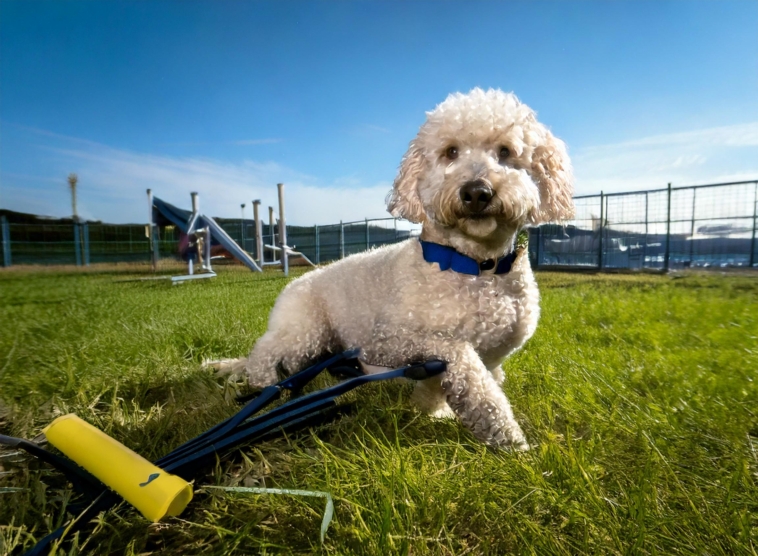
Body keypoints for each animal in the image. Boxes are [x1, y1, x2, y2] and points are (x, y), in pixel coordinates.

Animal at [217, 88, 572, 452]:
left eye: (505, 152)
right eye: (451, 152)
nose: (476, 192)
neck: (473, 266)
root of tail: (295, 283)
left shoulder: (496, 353)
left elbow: (462, 379)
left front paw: (432, 408)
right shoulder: (387, 340)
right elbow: (460, 355)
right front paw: (503, 431)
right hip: (304, 332)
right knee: (264, 352)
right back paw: (262, 382)